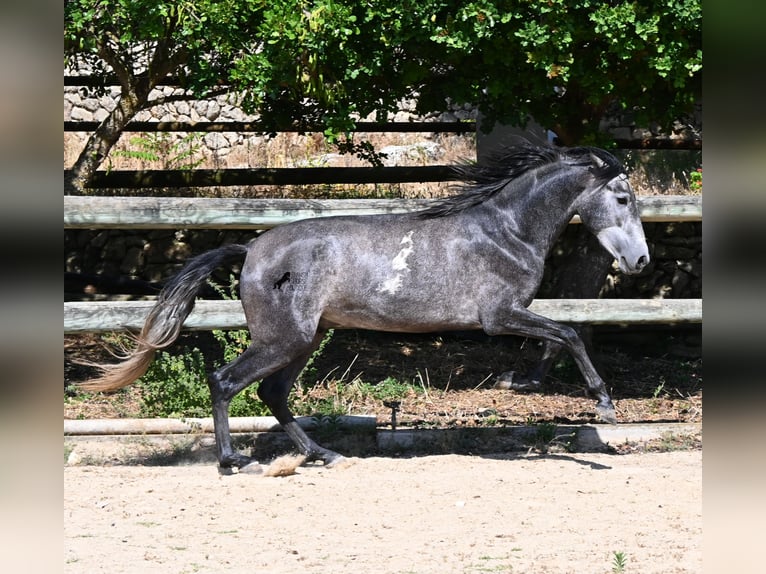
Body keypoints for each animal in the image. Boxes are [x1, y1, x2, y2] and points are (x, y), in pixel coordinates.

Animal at [80, 143, 649, 471]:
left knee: (270, 393)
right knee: (225, 382)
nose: (640, 260)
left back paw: (323, 454)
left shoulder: (510, 317)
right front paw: (603, 403)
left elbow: (558, 339)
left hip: (303, 340)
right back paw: (232, 461)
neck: (505, 232)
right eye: (623, 199)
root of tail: (251, 249)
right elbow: (567, 334)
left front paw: (521, 382)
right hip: (282, 338)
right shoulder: (498, 317)